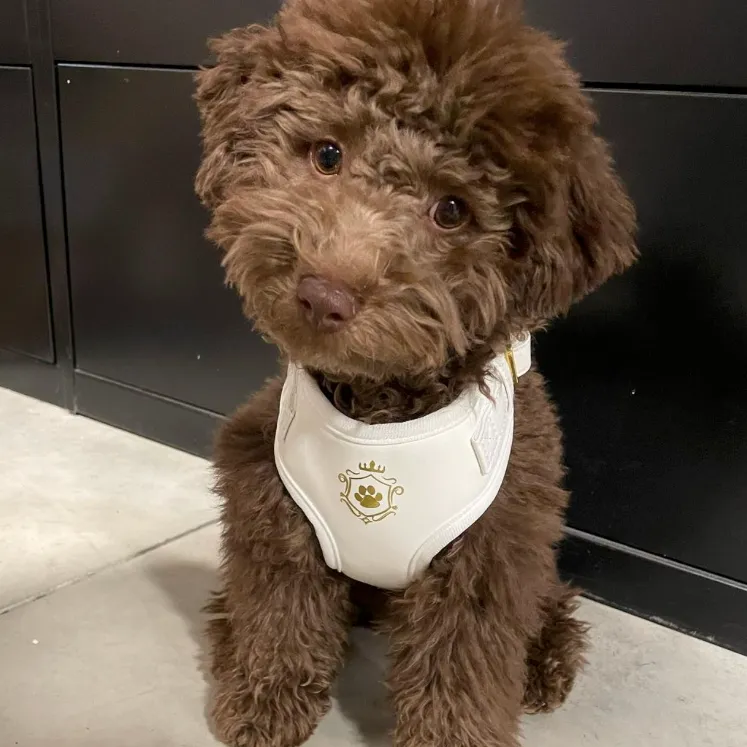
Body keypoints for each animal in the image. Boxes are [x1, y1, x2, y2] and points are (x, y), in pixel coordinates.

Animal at [194, 1, 636, 747]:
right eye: (327, 154)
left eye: (451, 209)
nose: (323, 294)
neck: (380, 405)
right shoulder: (272, 508)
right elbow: (279, 618)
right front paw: (263, 702)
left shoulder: (486, 559)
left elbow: (459, 672)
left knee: (547, 603)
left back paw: (545, 662)